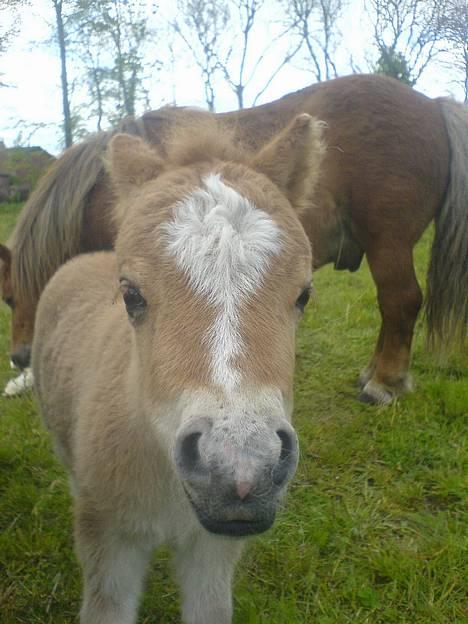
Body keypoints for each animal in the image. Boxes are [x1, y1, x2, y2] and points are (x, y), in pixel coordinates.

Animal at [0, 74, 468, 404]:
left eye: (8, 297)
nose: (20, 357)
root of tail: (432, 104)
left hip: (388, 244)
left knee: (400, 302)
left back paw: (384, 384)